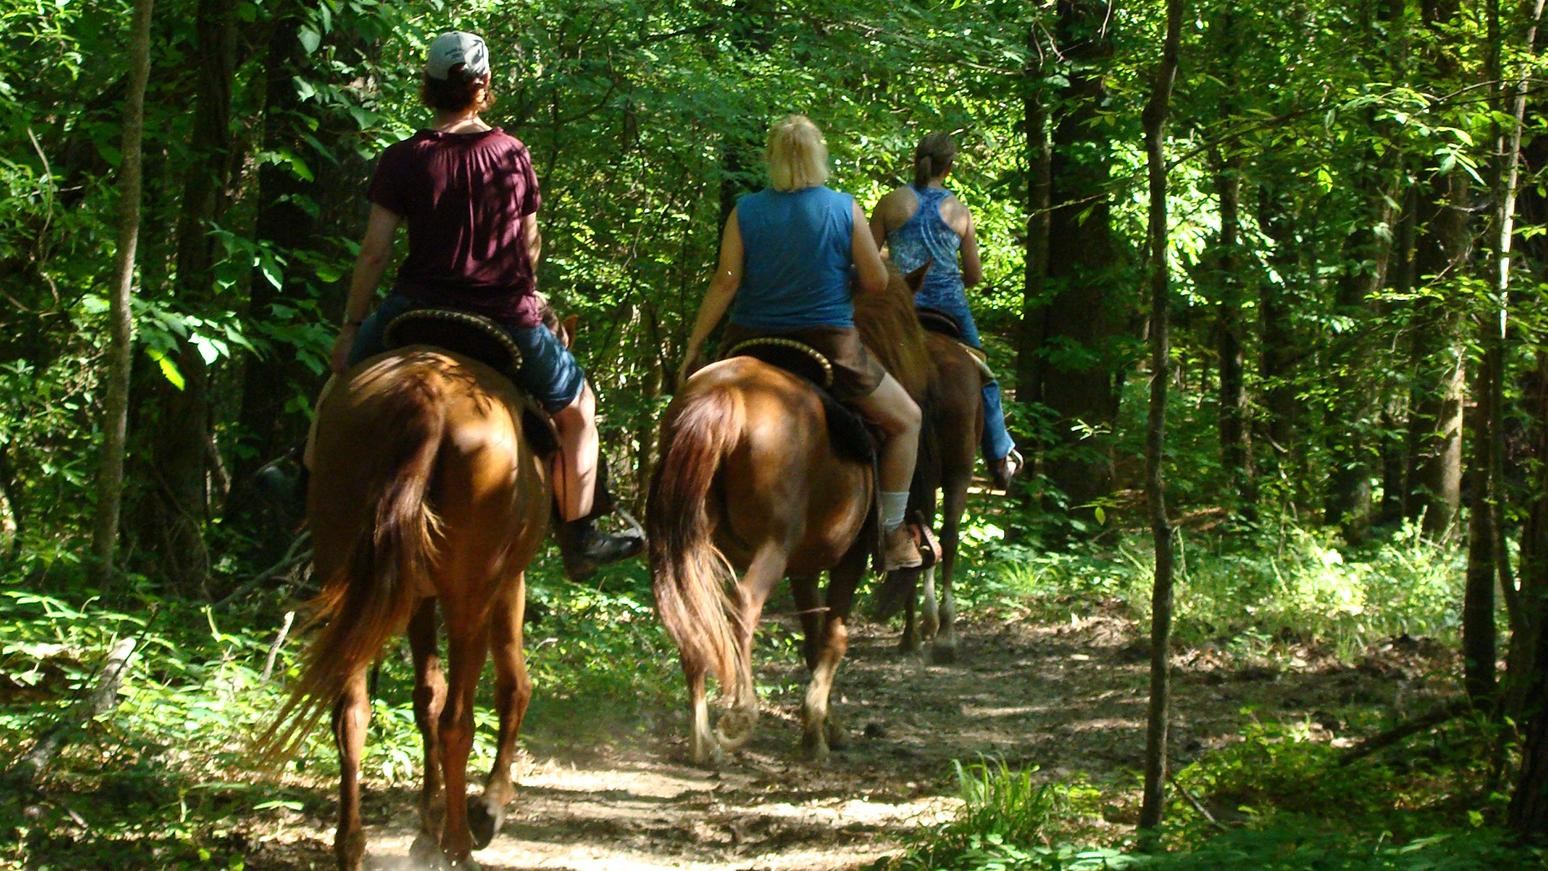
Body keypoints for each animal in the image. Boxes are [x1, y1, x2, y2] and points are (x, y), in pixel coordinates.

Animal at [260, 344, 557, 866]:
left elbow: (425, 699)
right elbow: (512, 686)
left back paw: (351, 846)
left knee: (351, 711)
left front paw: (425, 827)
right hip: (470, 596)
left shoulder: (418, 595)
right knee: (459, 719)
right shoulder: (507, 581)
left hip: (351, 575)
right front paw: (489, 807)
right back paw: (459, 845)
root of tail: (428, 394)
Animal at [647, 264, 922, 764]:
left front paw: (823, 727)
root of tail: (726, 394)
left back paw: (702, 742)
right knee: (742, 606)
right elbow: (833, 636)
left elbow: (812, 640)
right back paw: (739, 715)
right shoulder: (848, 557)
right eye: (912, 331)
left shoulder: (803, 567)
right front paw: (818, 731)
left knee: (692, 613)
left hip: (693, 542)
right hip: (771, 546)